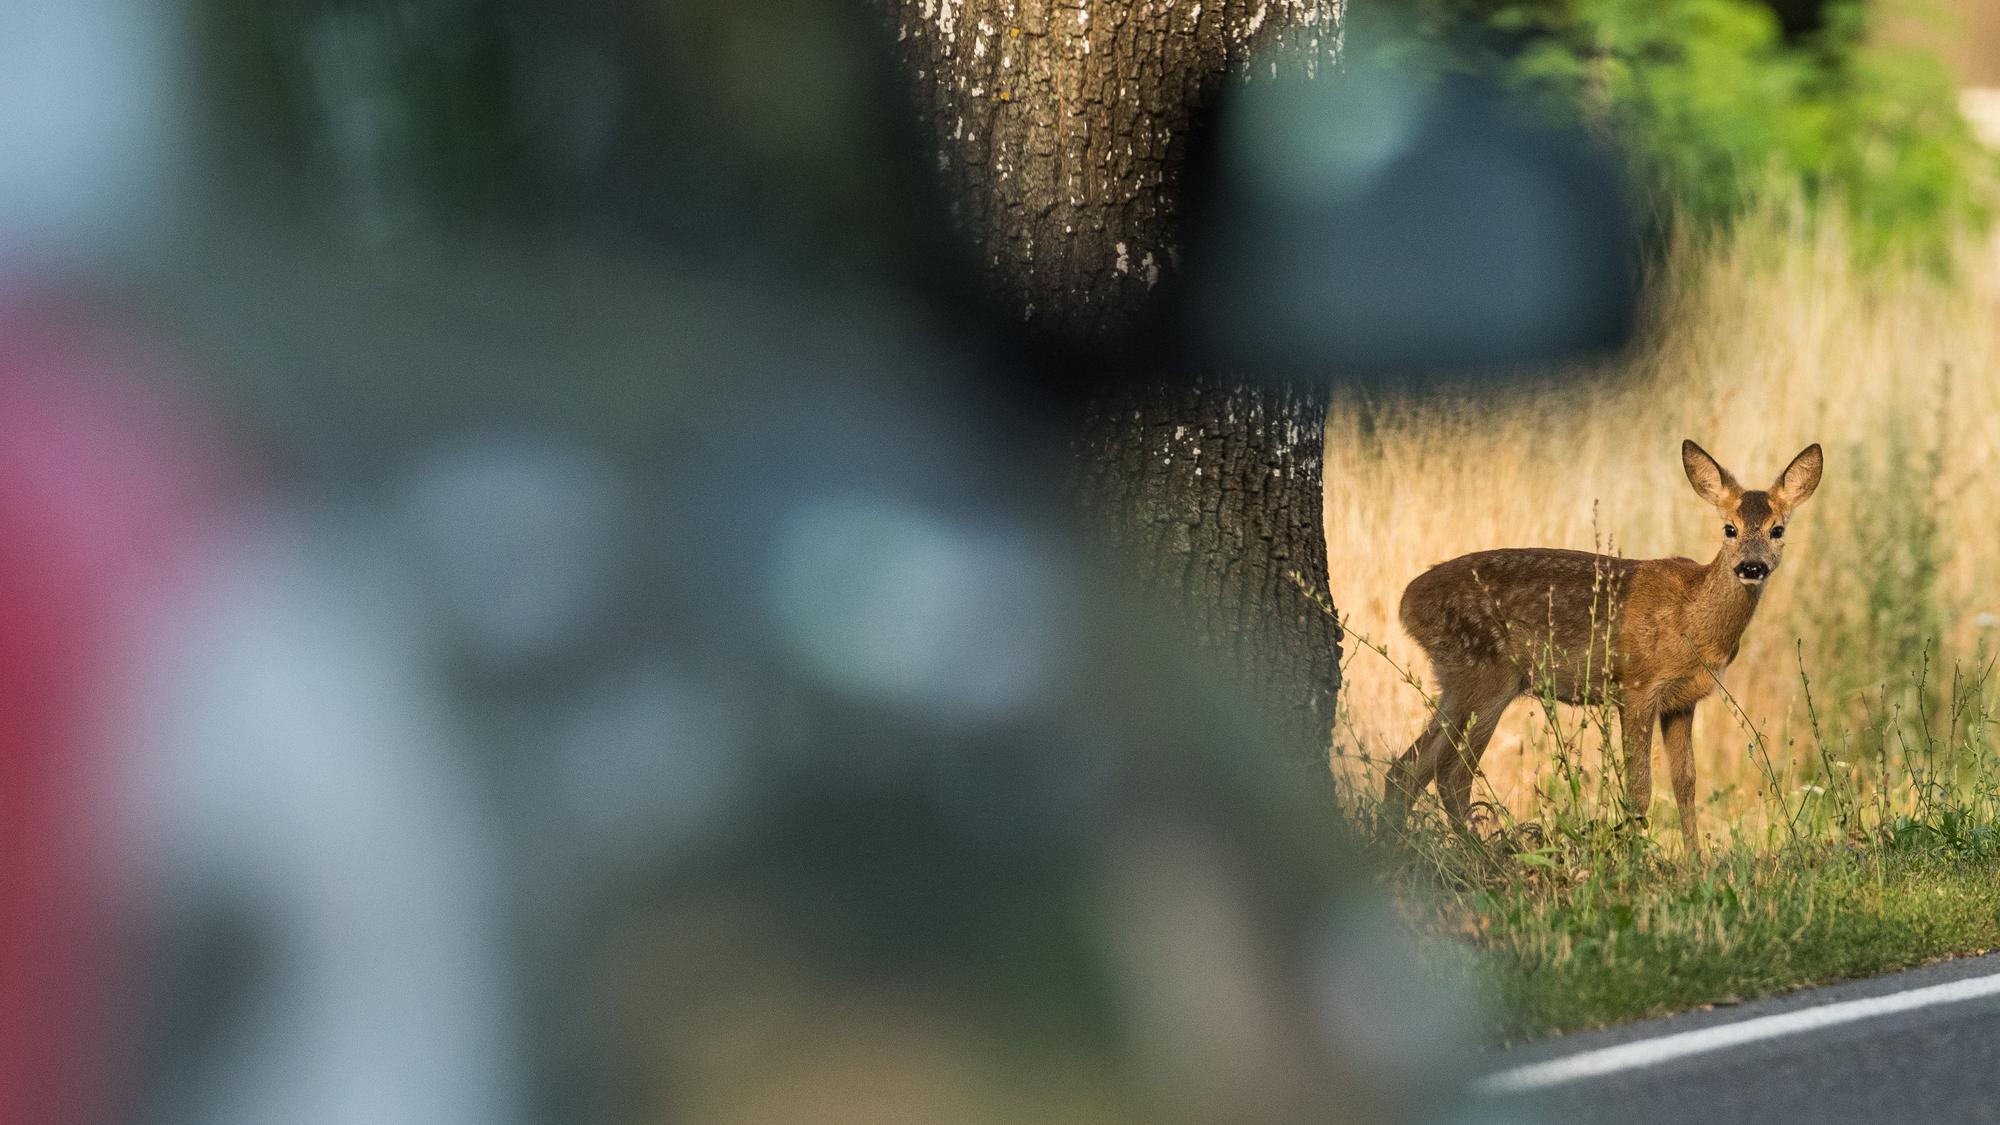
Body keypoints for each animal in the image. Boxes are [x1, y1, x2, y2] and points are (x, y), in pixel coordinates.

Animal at [1383, 440, 1823, 857]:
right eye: (1729, 528)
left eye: (1777, 530)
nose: (1751, 566)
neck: (1693, 620)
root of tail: (1407, 603)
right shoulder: (1637, 686)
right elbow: (1640, 790)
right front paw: (1635, 861)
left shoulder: (1682, 701)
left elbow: (1686, 784)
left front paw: (1696, 865)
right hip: (1487, 676)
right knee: (1451, 775)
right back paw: (1481, 854)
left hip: (1456, 681)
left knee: (1407, 769)